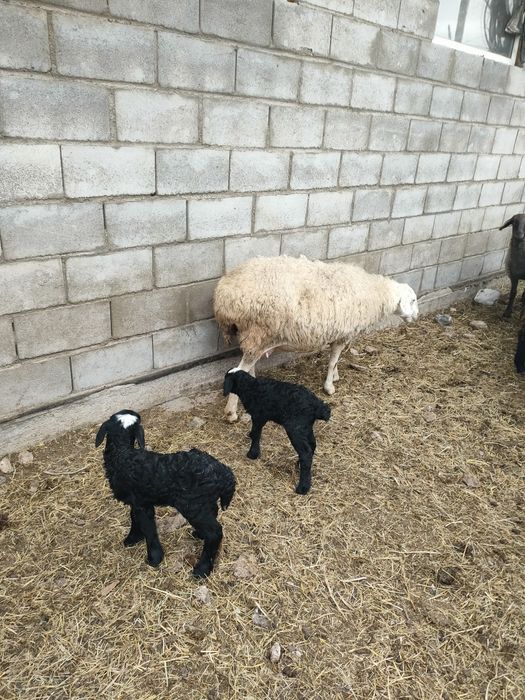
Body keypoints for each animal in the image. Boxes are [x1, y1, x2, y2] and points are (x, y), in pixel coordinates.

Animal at [95, 410, 236, 578]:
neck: (121, 453)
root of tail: (225, 474)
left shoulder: (142, 504)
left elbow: (148, 528)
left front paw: (154, 558)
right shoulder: (138, 500)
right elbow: (134, 518)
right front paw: (132, 538)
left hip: (193, 506)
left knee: (215, 532)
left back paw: (202, 569)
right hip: (204, 502)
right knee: (213, 516)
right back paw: (199, 535)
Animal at [214, 255, 419, 422]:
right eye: (413, 300)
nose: (416, 316)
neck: (375, 294)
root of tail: (223, 295)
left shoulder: (338, 334)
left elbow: (335, 361)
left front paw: (335, 376)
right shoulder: (343, 335)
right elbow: (333, 361)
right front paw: (329, 387)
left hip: (254, 338)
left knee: (248, 367)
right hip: (259, 334)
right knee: (239, 370)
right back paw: (231, 414)